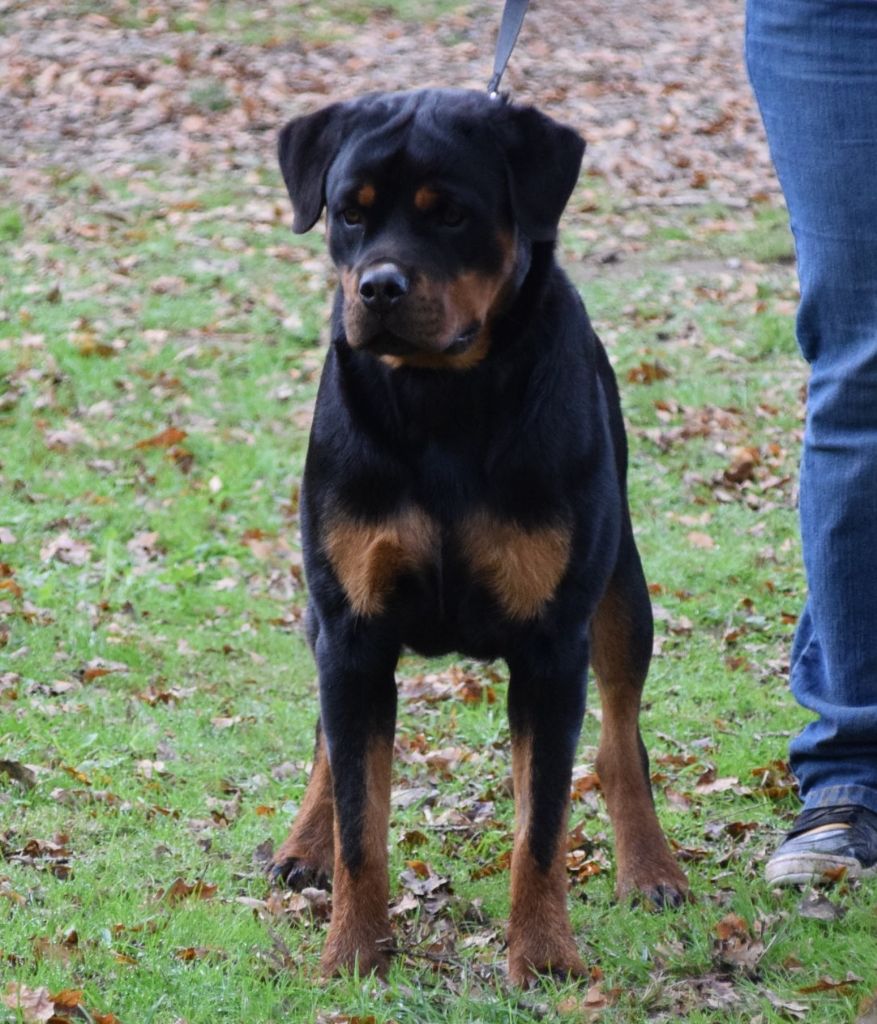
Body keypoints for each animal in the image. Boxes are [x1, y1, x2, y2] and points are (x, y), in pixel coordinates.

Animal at [270, 90, 688, 991]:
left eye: (451, 214)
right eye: (348, 214)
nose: (377, 286)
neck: (441, 407)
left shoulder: (550, 645)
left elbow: (541, 827)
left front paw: (544, 953)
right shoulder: (351, 628)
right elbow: (360, 814)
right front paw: (352, 951)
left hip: (620, 594)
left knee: (618, 739)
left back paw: (650, 867)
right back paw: (302, 841)